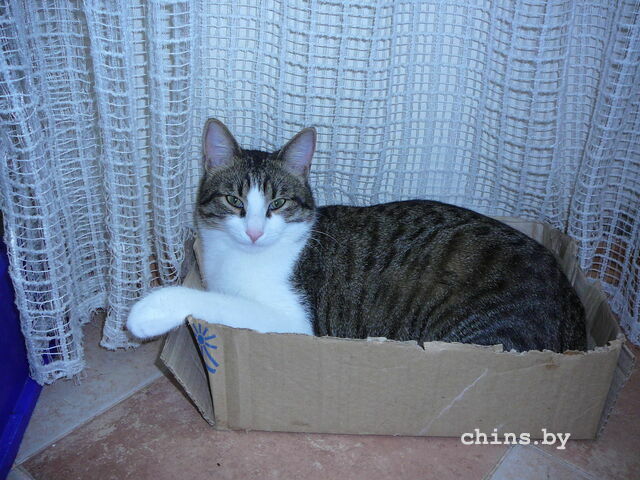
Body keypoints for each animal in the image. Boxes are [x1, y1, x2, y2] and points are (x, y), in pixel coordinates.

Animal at [126, 119, 587, 352]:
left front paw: (149, 310)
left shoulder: (292, 322)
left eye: (278, 203)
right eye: (234, 201)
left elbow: (216, 302)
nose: (255, 232)